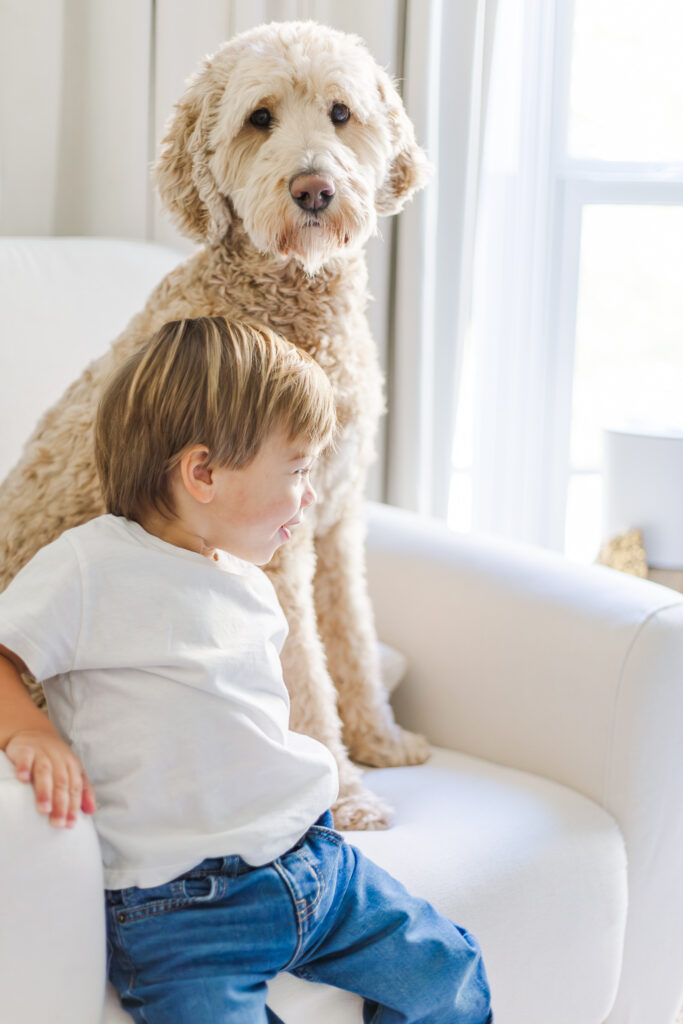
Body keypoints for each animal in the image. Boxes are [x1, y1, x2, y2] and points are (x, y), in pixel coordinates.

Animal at [0, 19, 430, 827]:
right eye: (259, 118)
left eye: (340, 112)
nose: (314, 189)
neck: (289, 308)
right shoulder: (276, 549)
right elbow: (302, 676)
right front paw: (345, 792)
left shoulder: (337, 520)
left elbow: (353, 639)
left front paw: (379, 742)